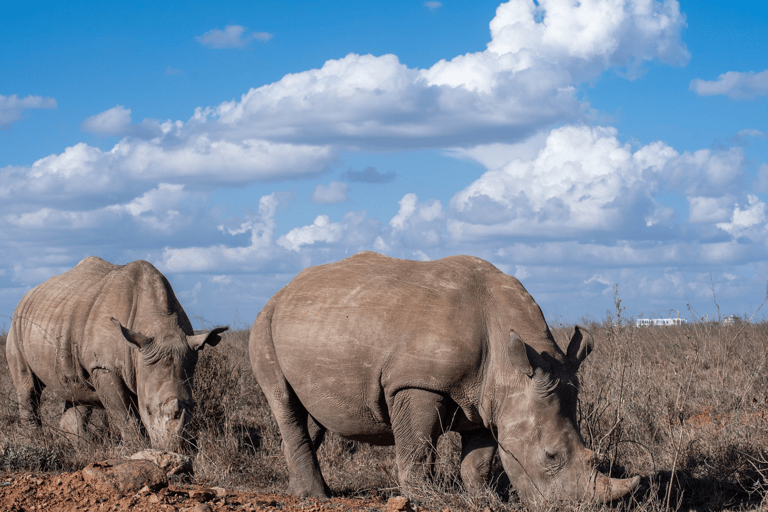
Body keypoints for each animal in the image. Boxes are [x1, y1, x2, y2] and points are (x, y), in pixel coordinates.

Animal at [6, 258, 228, 450]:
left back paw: (83, 447)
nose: (175, 449)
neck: (160, 326)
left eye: (193, 405)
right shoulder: (105, 366)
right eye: (148, 408)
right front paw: (137, 448)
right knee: (28, 387)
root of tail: (27, 295)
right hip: (16, 324)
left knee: (77, 391)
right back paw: (35, 444)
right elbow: (125, 414)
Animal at [249, 252, 640, 504]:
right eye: (550, 457)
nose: (576, 507)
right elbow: (417, 448)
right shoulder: (416, 382)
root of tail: (282, 290)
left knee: (310, 414)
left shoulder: (487, 398)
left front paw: (485, 501)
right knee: (283, 401)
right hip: (263, 324)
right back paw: (315, 497)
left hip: (313, 324)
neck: (510, 364)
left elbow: (478, 460)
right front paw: (423, 499)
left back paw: (299, 490)